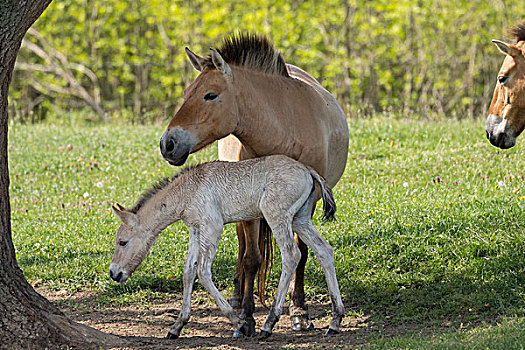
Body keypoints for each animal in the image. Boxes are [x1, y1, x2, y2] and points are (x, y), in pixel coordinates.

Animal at [107, 154, 344, 340]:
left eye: (123, 242)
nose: (114, 273)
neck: (189, 190)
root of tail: (308, 170)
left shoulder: (213, 226)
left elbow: (203, 272)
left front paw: (241, 324)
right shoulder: (195, 229)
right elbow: (188, 271)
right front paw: (177, 326)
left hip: (277, 217)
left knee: (291, 255)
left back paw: (268, 324)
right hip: (300, 220)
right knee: (325, 250)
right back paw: (335, 320)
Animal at [158, 33, 350, 336]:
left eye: (210, 95)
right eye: (187, 93)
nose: (168, 144)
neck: (284, 127)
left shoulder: (307, 205)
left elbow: (302, 254)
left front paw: (299, 311)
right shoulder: (250, 211)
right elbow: (251, 259)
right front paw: (246, 318)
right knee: (242, 249)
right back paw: (237, 297)